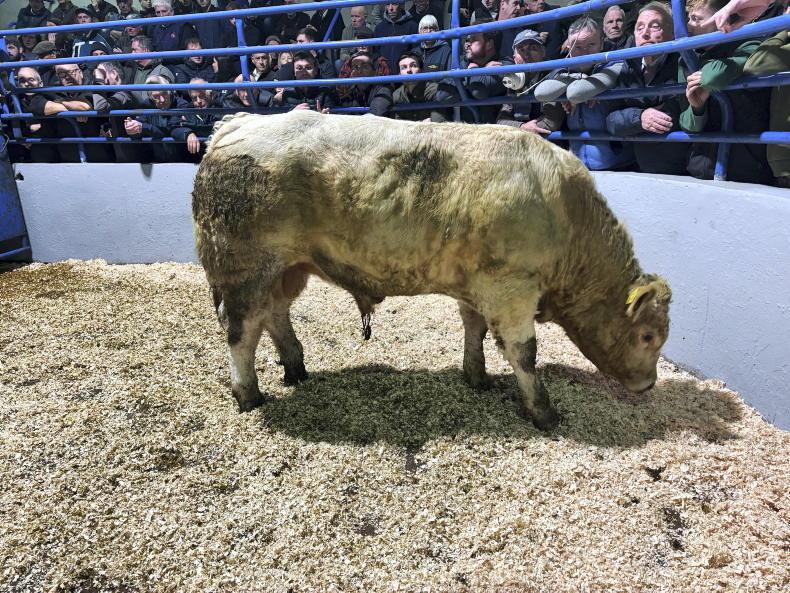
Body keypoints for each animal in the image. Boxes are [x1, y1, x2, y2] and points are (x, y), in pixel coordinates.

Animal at [192, 111, 671, 431]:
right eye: (648, 336)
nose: (649, 385)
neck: (565, 213)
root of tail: (235, 124)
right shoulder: (512, 289)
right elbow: (524, 353)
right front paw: (543, 411)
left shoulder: (478, 284)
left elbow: (475, 330)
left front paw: (476, 376)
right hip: (243, 270)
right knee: (241, 331)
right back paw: (249, 394)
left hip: (288, 268)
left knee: (274, 315)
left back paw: (295, 366)